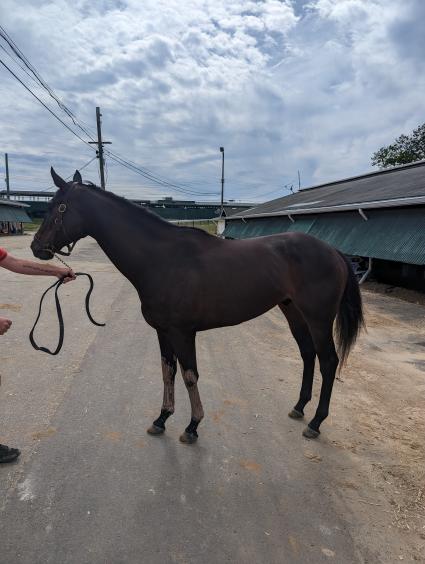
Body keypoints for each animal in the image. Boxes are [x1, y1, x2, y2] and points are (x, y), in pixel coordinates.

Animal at [32, 169, 364, 446]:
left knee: (328, 361)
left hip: (319, 318)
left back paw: (316, 422)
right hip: (294, 312)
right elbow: (167, 372)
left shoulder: (182, 333)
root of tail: (332, 250)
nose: (37, 247)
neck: (162, 259)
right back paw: (299, 408)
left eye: (58, 207)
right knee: (308, 355)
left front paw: (192, 426)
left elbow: (190, 375)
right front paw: (161, 419)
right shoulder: (163, 332)